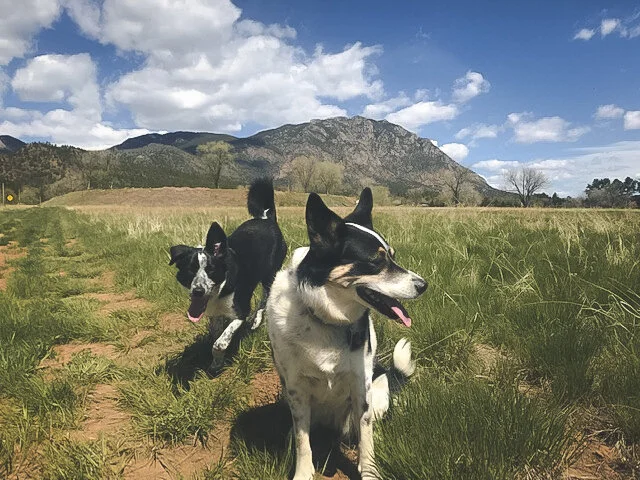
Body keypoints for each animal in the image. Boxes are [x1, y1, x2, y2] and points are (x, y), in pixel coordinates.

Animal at [169, 178, 287, 371]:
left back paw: (256, 320)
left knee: (264, 297)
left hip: (270, 274)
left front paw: (218, 361)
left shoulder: (240, 311)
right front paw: (216, 362)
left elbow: (220, 342)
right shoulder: (215, 312)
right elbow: (216, 334)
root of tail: (266, 218)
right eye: (190, 270)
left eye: (211, 269)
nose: (198, 291)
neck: (221, 288)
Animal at [267, 188, 427, 479]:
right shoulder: (295, 390)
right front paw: (303, 472)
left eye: (393, 255)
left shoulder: (361, 386)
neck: (326, 318)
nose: (424, 285)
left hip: (378, 392)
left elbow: (367, 437)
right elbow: (303, 441)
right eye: (376, 261)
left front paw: (370, 471)